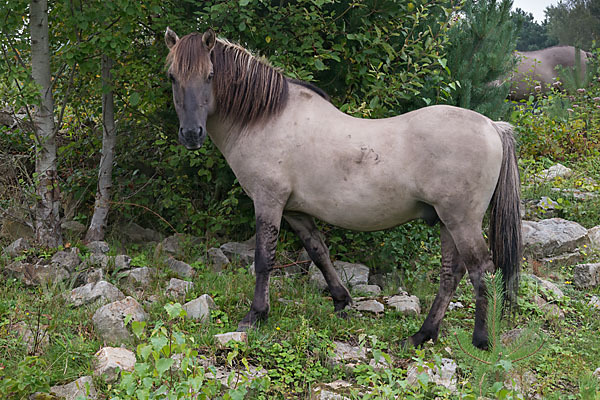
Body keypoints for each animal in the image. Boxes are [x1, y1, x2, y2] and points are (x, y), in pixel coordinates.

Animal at [164, 28, 520, 348]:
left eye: (210, 75)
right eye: (172, 77)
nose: (192, 135)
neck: (265, 119)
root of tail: (492, 126)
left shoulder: (268, 202)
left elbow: (265, 259)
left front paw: (256, 315)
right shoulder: (295, 211)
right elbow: (319, 253)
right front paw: (341, 301)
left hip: (461, 221)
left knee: (482, 270)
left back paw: (481, 340)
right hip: (447, 221)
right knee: (452, 273)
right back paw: (421, 336)